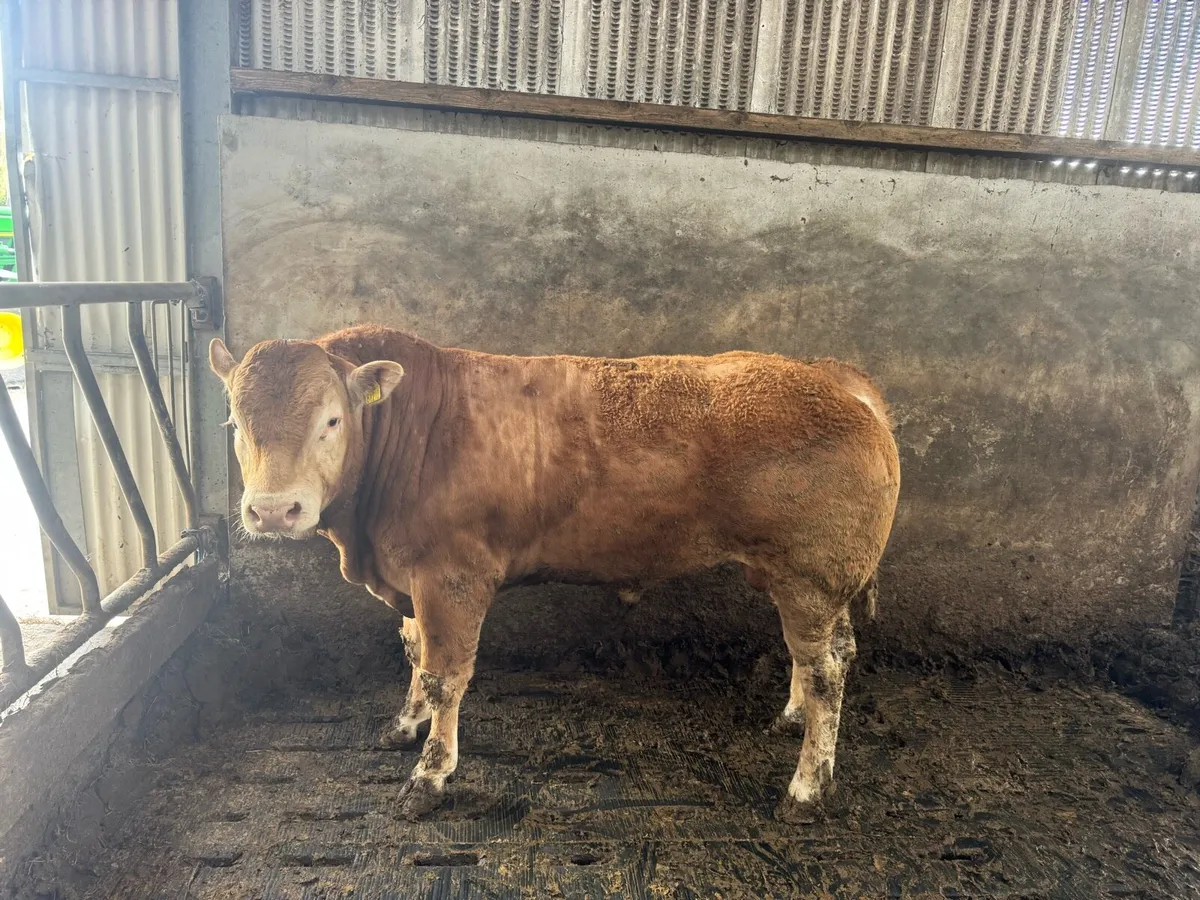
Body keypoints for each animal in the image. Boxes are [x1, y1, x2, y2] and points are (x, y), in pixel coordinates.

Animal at [209, 325, 900, 822]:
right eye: (234, 423)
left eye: (331, 420)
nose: (273, 510)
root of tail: (831, 375)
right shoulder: (410, 579)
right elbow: (413, 654)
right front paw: (404, 726)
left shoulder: (451, 577)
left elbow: (444, 675)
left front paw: (430, 775)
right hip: (812, 579)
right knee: (830, 654)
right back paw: (792, 718)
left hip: (811, 573)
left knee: (825, 670)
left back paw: (807, 789)